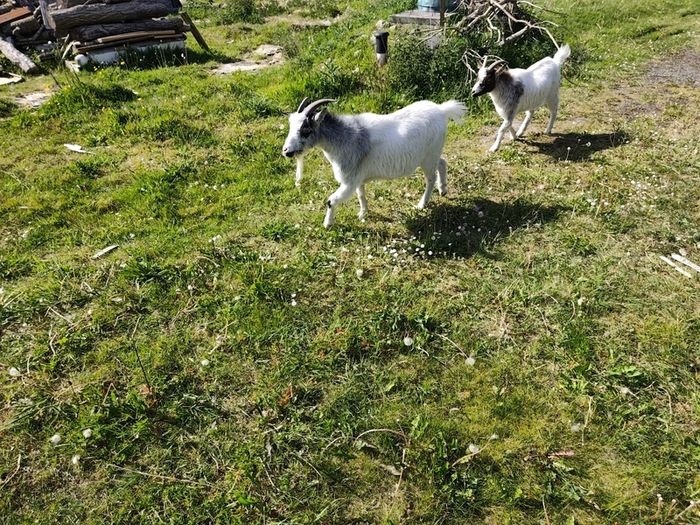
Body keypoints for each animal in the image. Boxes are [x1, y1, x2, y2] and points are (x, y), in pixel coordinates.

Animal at [282, 98, 466, 228]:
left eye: (306, 130)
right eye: (290, 125)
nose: (286, 151)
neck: (346, 137)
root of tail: (442, 110)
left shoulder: (349, 182)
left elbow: (331, 200)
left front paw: (327, 224)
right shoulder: (358, 179)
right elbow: (361, 195)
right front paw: (363, 214)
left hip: (428, 158)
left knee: (430, 178)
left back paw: (421, 204)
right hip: (432, 155)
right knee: (442, 162)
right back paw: (443, 190)